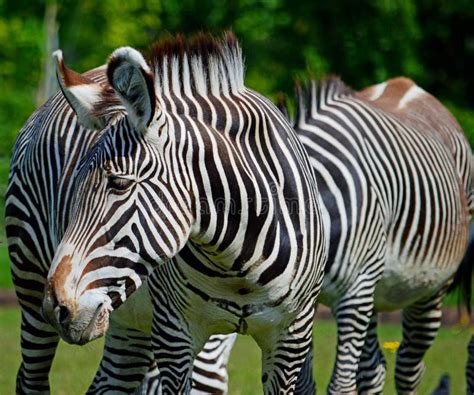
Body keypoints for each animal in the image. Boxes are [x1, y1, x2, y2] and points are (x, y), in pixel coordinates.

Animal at [37, 32, 328, 394]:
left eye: (119, 183)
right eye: (75, 183)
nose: (56, 306)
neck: (239, 263)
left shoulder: (291, 337)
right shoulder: (172, 334)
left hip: (127, 322)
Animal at [278, 76, 474, 394]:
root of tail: (407, 85)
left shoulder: (354, 291)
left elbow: (341, 386)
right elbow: (304, 384)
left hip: (430, 287)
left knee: (409, 364)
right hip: (375, 289)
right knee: (375, 368)